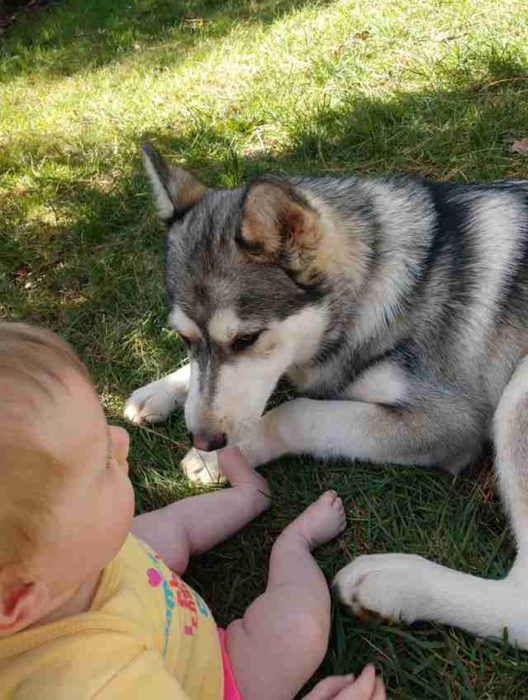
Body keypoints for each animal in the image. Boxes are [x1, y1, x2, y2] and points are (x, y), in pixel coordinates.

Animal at [126, 144, 528, 652]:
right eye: (183, 338)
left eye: (246, 339)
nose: (204, 438)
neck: (377, 288)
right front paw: (161, 389)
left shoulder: (448, 422)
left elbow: (297, 411)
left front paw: (221, 457)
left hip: (518, 393)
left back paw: (393, 583)